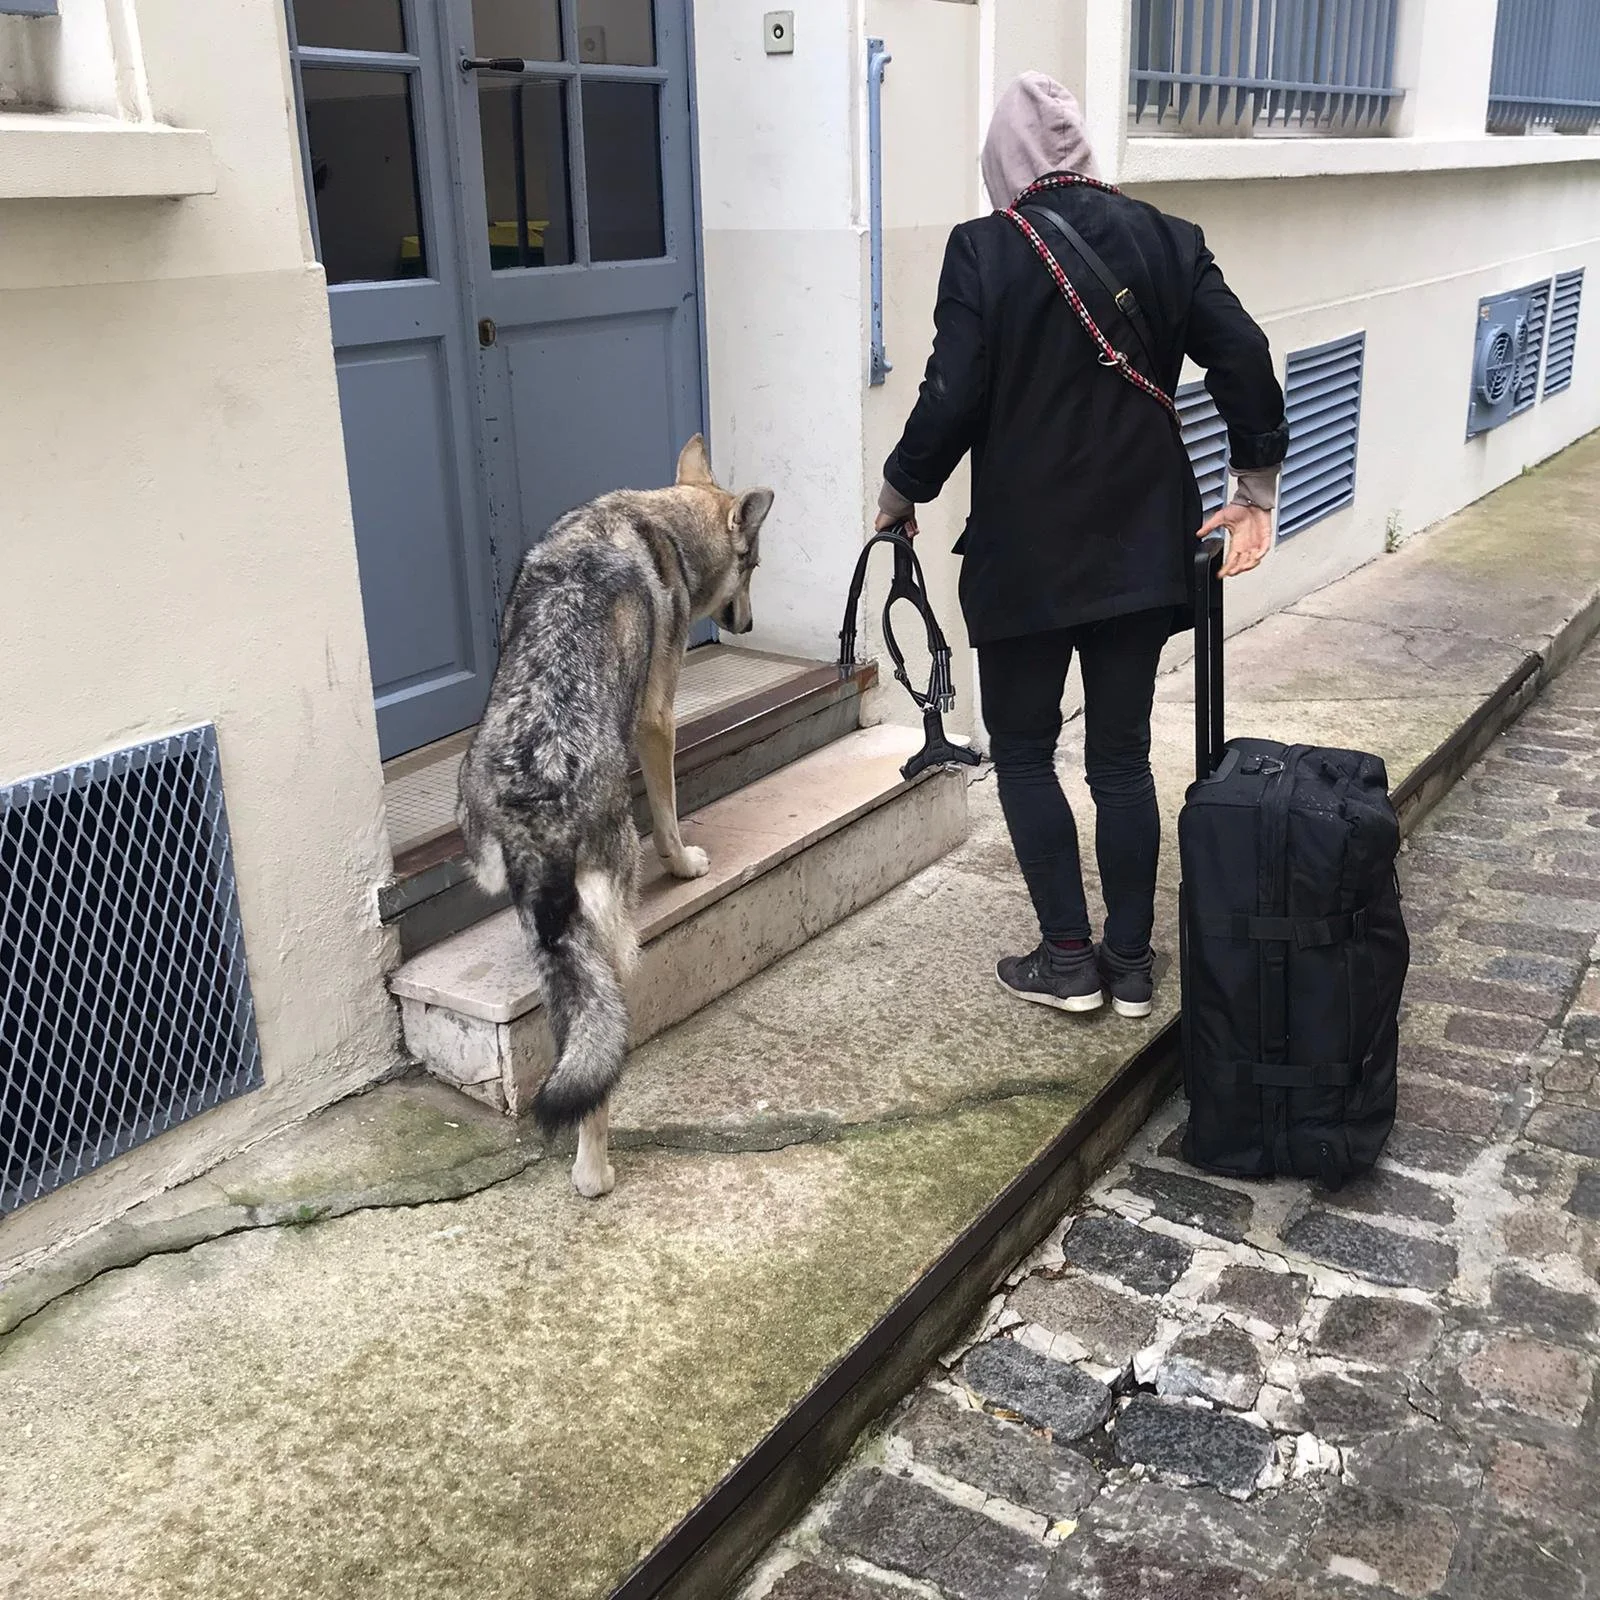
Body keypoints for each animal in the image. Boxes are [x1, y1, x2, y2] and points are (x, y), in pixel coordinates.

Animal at [457, 436, 775, 1198]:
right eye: (753, 565)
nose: (748, 624)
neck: (657, 522)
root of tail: (537, 797)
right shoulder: (659, 717)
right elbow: (668, 813)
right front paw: (685, 864)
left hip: (548, 934)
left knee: (575, 1037)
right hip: (615, 939)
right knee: (602, 1071)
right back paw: (594, 1171)